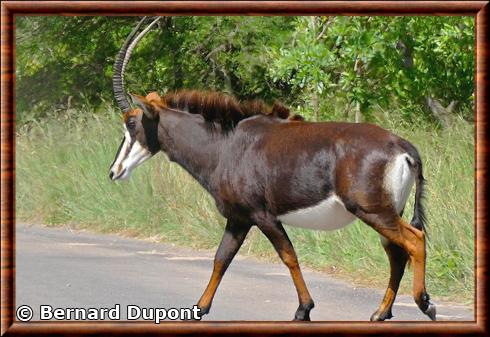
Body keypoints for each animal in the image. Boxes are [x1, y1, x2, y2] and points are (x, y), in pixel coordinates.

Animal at [109, 17, 434, 320]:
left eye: (132, 123)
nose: (114, 172)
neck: (225, 145)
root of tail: (402, 146)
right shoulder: (238, 219)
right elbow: (221, 259)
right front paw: (199, 308)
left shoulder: (262, 215)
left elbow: (288, 256)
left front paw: (304, 309)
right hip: (388, 211)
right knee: (396, 253)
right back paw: (381, 312)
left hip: (372, 210)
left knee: (414, 241)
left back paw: (424, 303)